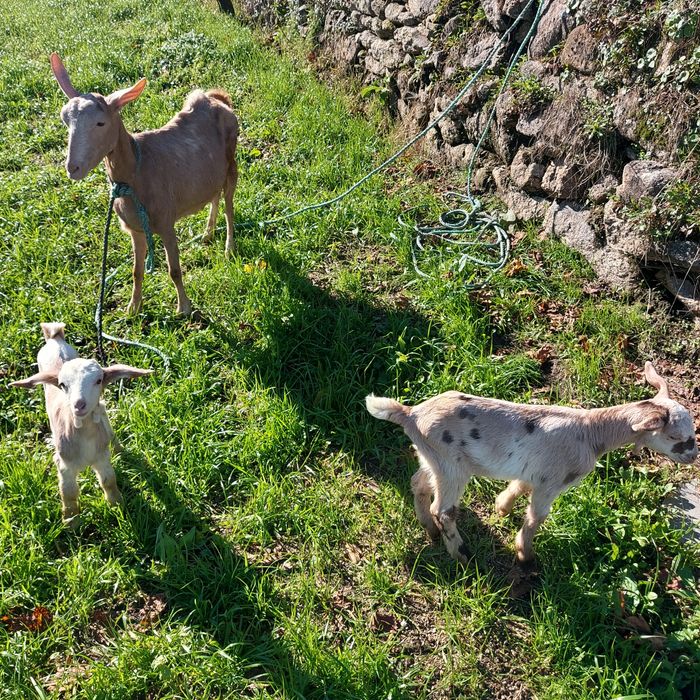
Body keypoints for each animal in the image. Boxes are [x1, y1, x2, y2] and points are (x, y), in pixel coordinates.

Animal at [10, 323, 151, 527]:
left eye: (99, 380)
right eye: (62, 384)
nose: (79, 405)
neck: (83, 434)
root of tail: (55, 337)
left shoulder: (101, 457)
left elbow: (108, 480)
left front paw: (117, 505)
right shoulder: (64, 465)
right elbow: (68, 492)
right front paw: (71, 521)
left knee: (103, 412)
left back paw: (118, 447)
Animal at [50, 53, 239, 315]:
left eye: (100, 123)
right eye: (65, 120)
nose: (73, 168)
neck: (136, 176)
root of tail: (218, 99)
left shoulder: (166, 221)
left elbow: (174, 269)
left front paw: (184, 308)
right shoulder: (136, 229)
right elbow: (136, 271)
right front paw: (133, 307)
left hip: (232, 161)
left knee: (229, 203)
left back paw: (229, 248)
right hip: (210, 172)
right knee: (214, 195)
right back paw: (207, 234)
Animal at [366, 362, 698, 564]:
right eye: (676, 437)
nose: (693, 457)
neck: (591, 432)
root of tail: (411, 414)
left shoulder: (536, 473)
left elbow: (518, 486)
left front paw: (502, 507)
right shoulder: (553, 480)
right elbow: (537, 517)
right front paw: (525, 554)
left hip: (433, 457)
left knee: (419, 485)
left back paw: (430, 531)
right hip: (452, 467)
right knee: (444, 510)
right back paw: (460, 554)